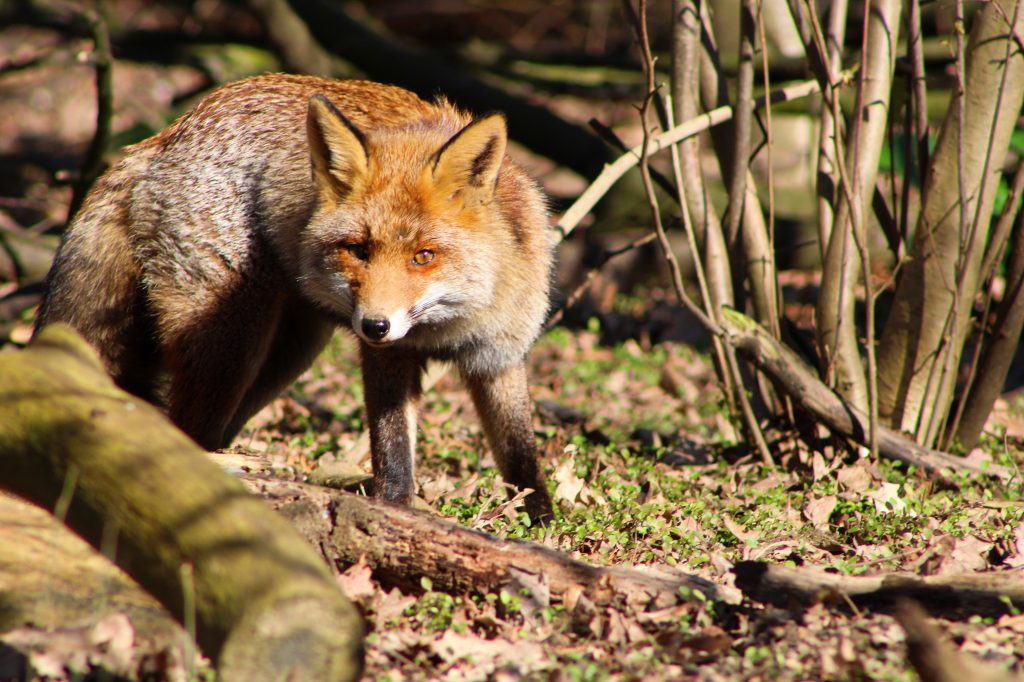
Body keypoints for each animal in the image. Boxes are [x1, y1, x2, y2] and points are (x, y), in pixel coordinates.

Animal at [35, 73, 556, 522]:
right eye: (359, 250)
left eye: (423, 256)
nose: (374, 325)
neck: (447, 326)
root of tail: (163, 137)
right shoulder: (388, 359)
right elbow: (393, 455)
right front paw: (397, 511)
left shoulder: (498, 357)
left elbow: (521, 457)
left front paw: (544, 524)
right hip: (230, 344)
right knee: (184, 428)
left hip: (287, 354)